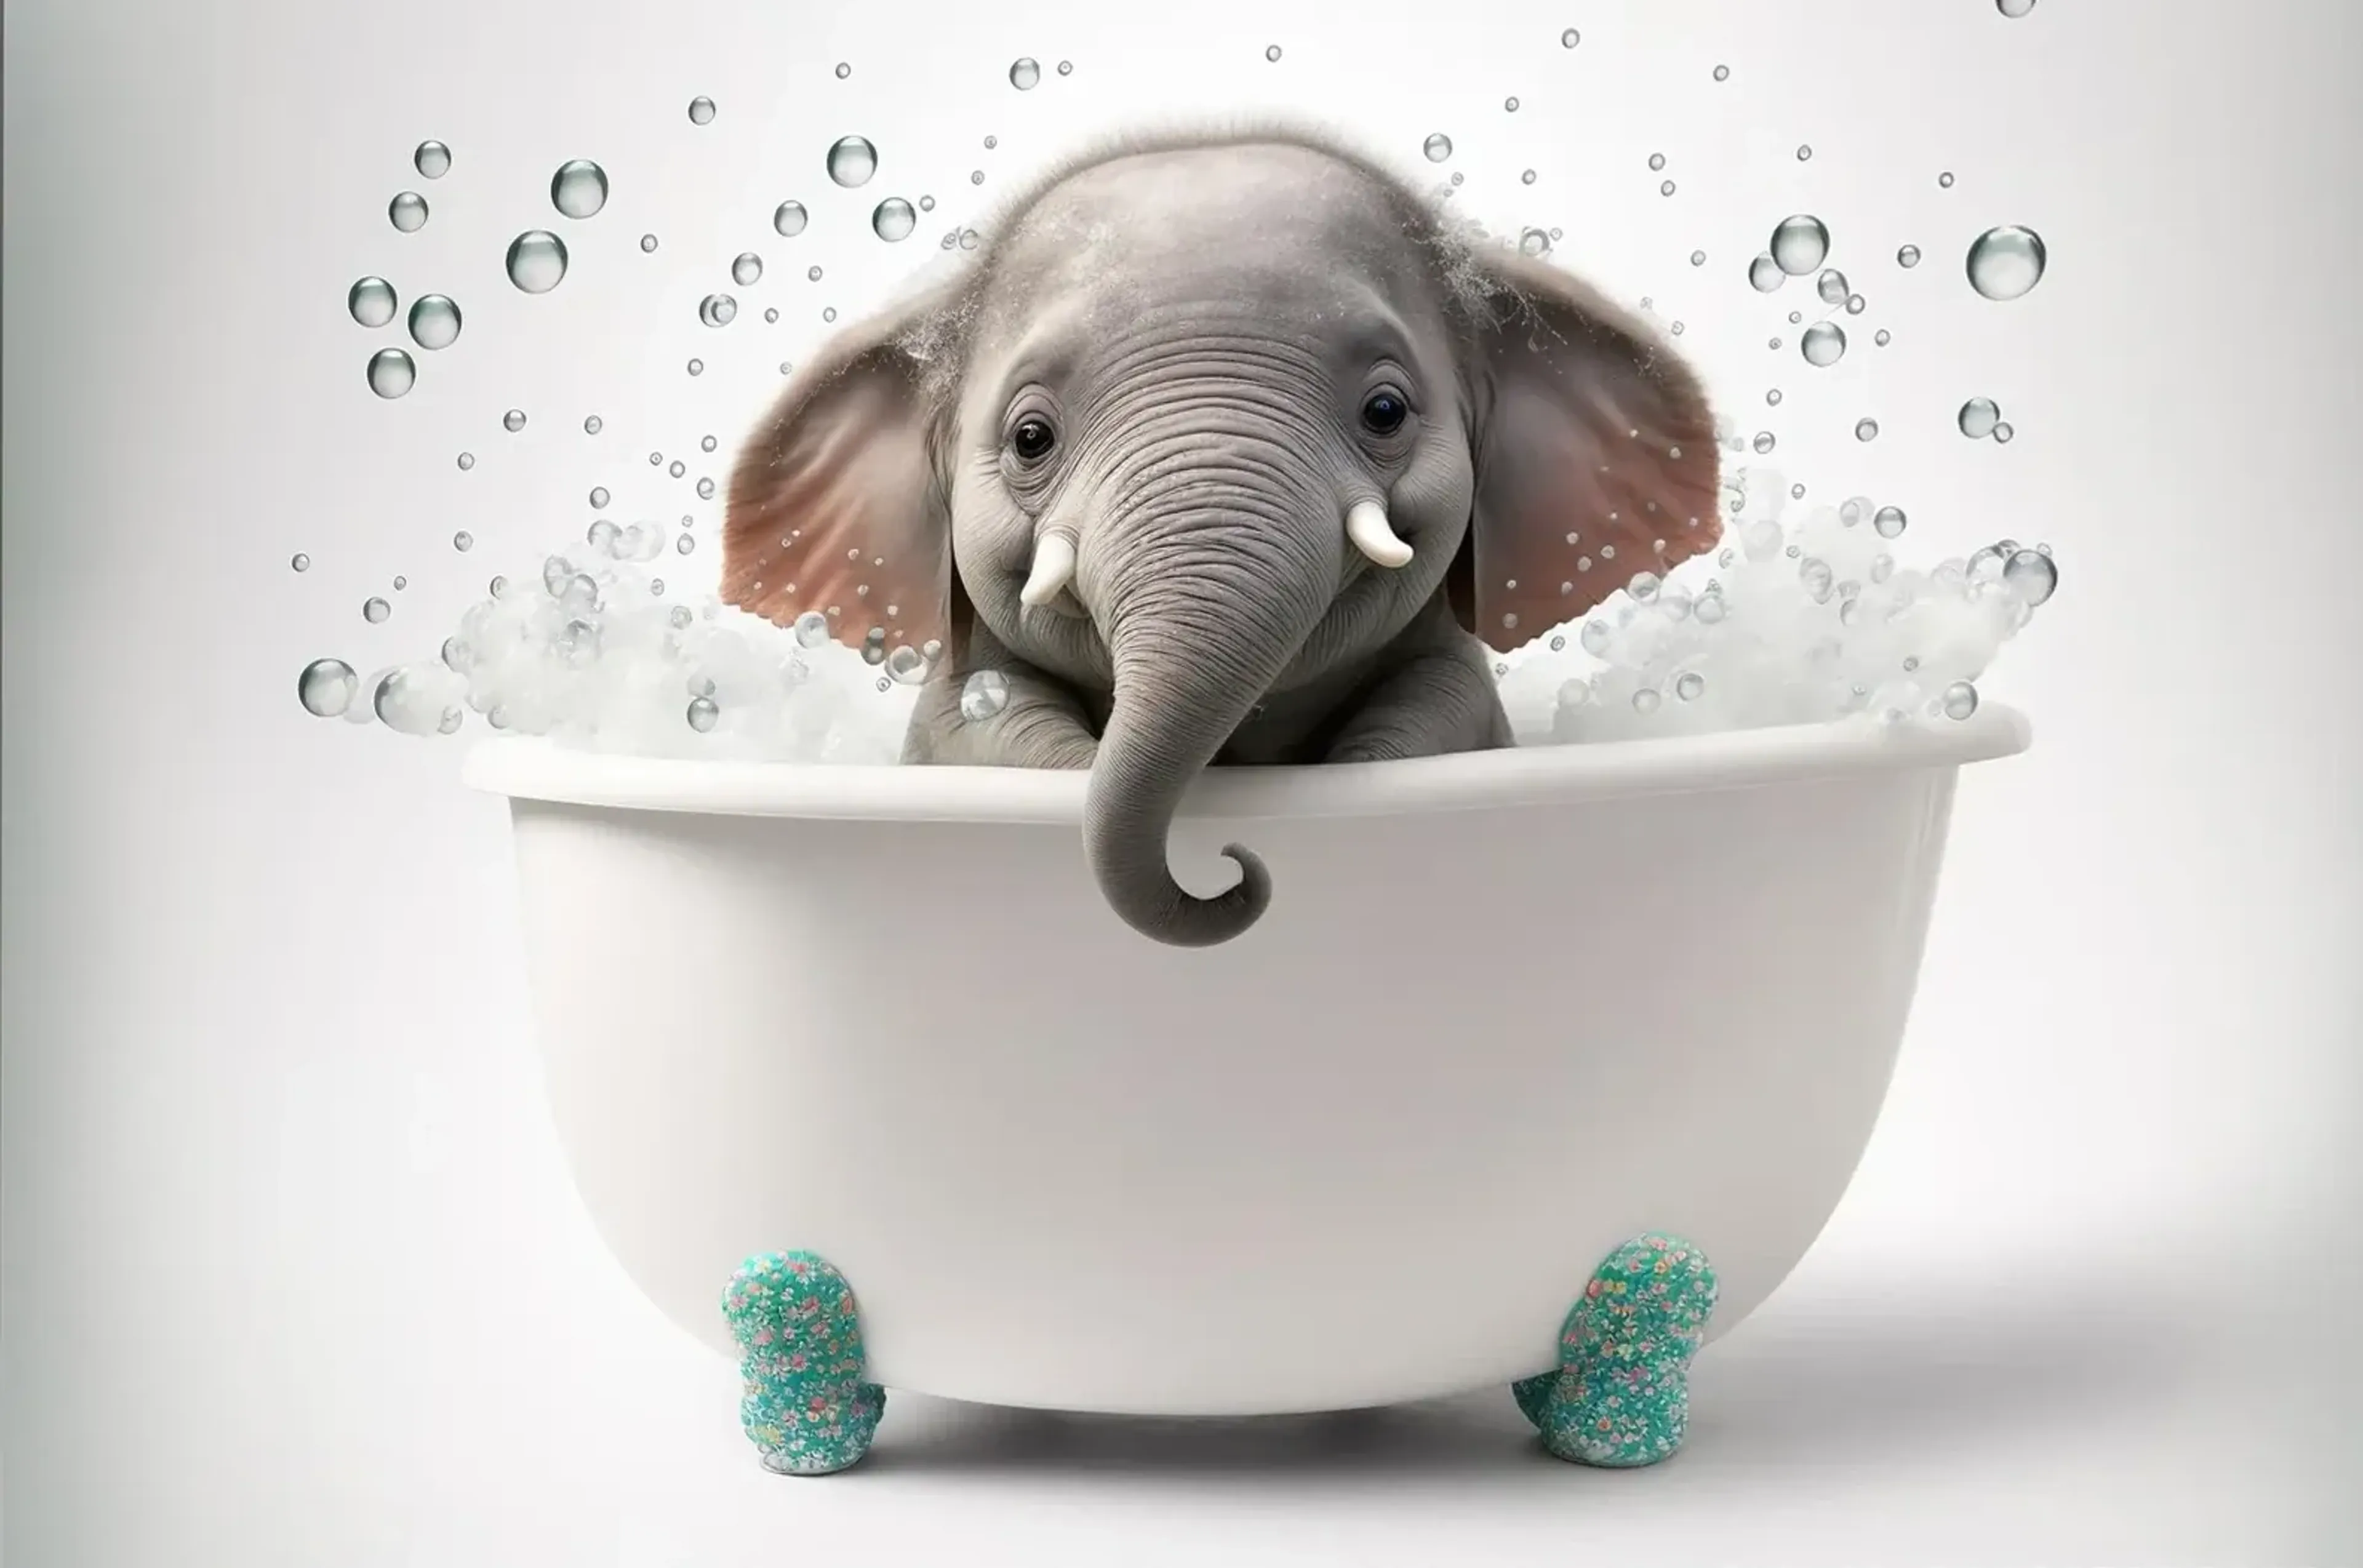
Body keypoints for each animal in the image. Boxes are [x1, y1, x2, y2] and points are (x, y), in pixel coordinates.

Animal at [720, 127, 1721, 948]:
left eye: (1386, 411)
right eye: (1031, 438)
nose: (1235, 865)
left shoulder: (1458, 694)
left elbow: (1437, 708)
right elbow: (988, 726)